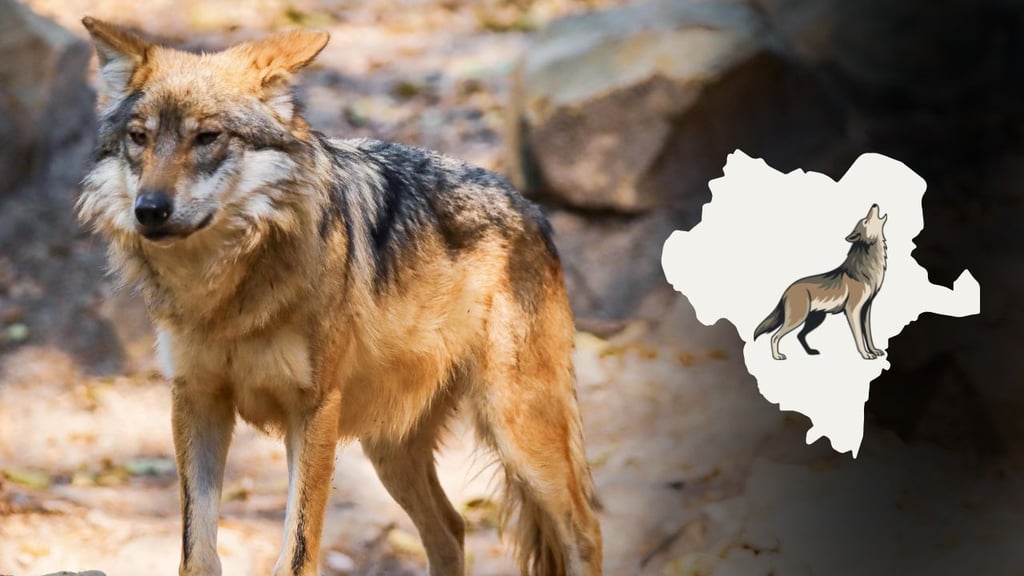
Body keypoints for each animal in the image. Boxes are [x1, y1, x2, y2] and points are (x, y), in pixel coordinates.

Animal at [77, 17, 603, 576]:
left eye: (207, 137)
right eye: (139, 138)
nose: (149, 209)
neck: (225, 298)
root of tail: (533, 211)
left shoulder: (312, 410)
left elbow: (296, 553)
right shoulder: (196, 400)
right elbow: (196, 553)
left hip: (522, 434)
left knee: (584, 532)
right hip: (391, 449)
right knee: (452, 527)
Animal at [753, 204, 888, 361]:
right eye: (865, 221)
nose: (874, 204)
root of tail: (787, 291)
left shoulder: (866, 310)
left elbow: (869, 335)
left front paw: (874, 350)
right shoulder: (852, 311)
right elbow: (859, 337)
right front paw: (866, 354)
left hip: (815, 319)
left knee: (799, 335)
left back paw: (810, 352)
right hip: (798, 319)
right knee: (775, 336)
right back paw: (777, 356)